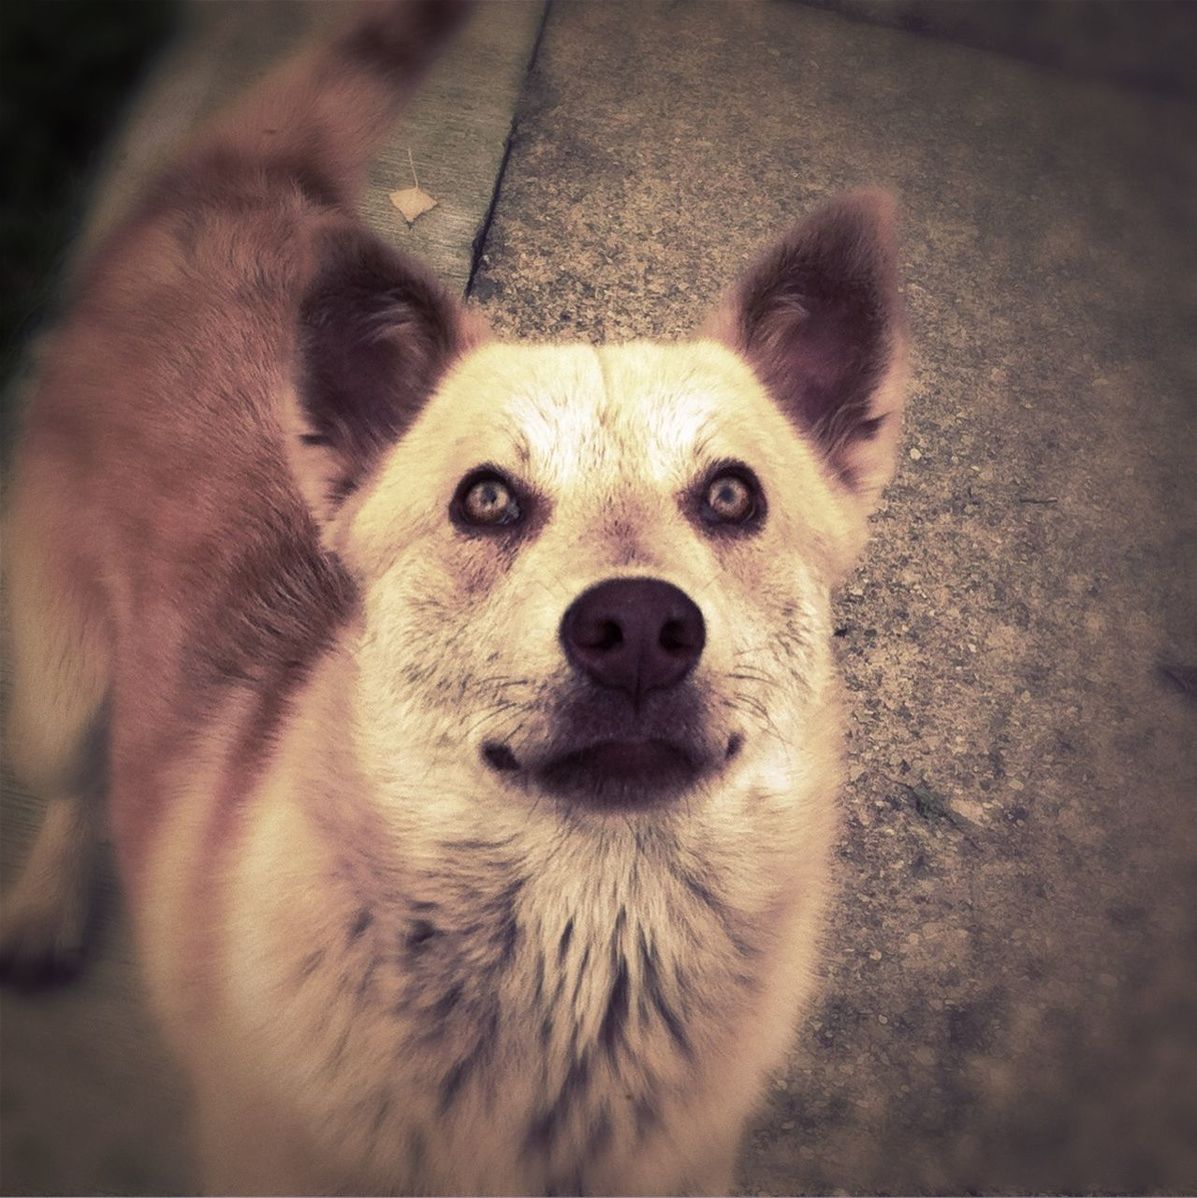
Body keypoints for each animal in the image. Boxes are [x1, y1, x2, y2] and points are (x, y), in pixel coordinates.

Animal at [0, 4, 905, 1193]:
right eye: (484, 498)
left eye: (730, 494)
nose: (638, 629)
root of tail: (242, 180)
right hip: (55, 677)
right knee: (72, 777)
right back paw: (46, 903)